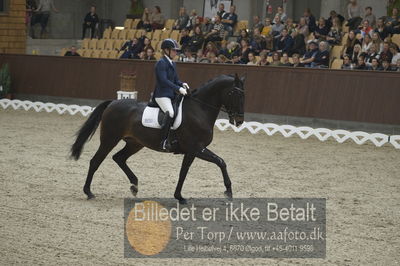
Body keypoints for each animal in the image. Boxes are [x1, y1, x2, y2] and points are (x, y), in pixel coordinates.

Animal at [71, 74, 245, 203]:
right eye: (235, 94)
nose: (240, 121)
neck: (199, 109)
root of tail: (113, 102)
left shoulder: (191, 151)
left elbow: (183, 172)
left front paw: (179, 197)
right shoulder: (196, 148)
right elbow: (220, 162)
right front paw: (228, 191)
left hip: (135, 143)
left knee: (119, 158)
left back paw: (134, 186)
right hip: (109, 139)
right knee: (96, 161)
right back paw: (89, 192)